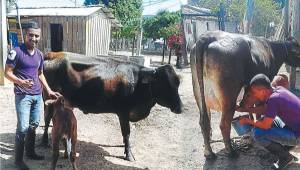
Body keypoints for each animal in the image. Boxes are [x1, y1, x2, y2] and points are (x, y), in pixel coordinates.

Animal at [41, 52, 183, 161]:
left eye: (177, 83)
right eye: (164, 85)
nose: (180, 108)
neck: (137, 82)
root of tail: (53, 54)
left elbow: (126, 135)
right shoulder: (123, 113)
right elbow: (127, 133)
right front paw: (129, 154)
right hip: (49, 99)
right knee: (47, 119)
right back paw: (44, 142)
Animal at [190, 30, 300, 159]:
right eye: (298, 53)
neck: (273, 50)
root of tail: (207, 37)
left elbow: (250, 107)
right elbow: (259, 109)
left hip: (199, 92)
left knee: (204, 121)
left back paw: (209, 153)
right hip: (229, 96)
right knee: (224, 124)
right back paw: (231, 152)